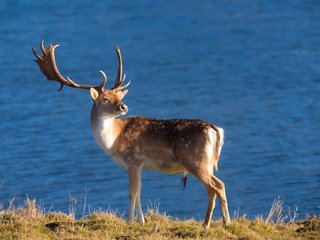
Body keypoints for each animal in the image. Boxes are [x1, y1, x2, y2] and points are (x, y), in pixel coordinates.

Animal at [32, 40, 230, 227]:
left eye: (119, 96)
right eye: (106, 98)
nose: (123, 106)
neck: (114, 140)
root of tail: (216, 130)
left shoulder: (133, 159)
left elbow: (132, 192)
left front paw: (129, 221)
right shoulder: (140, 164)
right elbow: (140, 192)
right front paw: (141, 221)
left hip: (196, 161)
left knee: (216, 186)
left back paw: (216, 223)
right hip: (206, 163)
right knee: (216, 186)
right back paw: (215, 222)